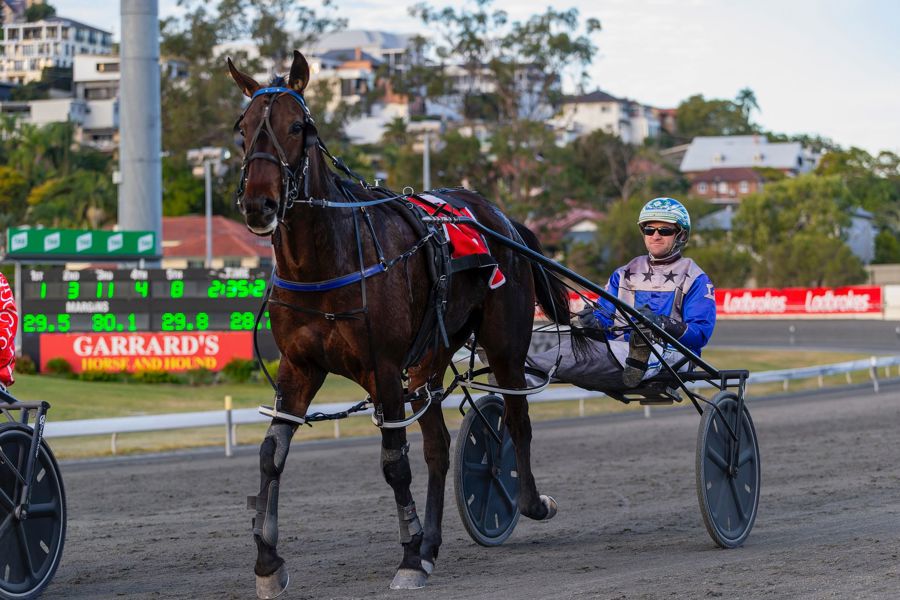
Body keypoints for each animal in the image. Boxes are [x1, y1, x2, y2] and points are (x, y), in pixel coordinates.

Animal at [228, 50, 570, 598]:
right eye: (243, 129)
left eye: (297, 126)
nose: (259, 203)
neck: (325, 261)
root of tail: (501, 218)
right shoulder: (298, 368)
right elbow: (270, 454)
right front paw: (267, 563)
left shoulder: (383, 368)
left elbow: (394, 461)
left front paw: (408, 554)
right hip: (429, 360)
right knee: (439, 447)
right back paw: (431, 544)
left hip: (504, 345)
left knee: (516, 419)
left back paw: (529, 503)